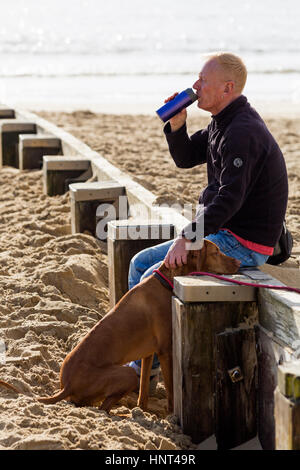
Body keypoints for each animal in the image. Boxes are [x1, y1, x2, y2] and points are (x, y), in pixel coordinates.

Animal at [0, 241, 239, 414]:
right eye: (216, 252)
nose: (238, 263)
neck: (165, 282)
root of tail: (66, 384)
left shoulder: (148, 353)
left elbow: (143, 389)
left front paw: (143, 411)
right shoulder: (166, 351)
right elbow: (171, 389)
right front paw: (171, 415)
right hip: (124, 373)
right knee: (103, 409)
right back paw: (121, 414)